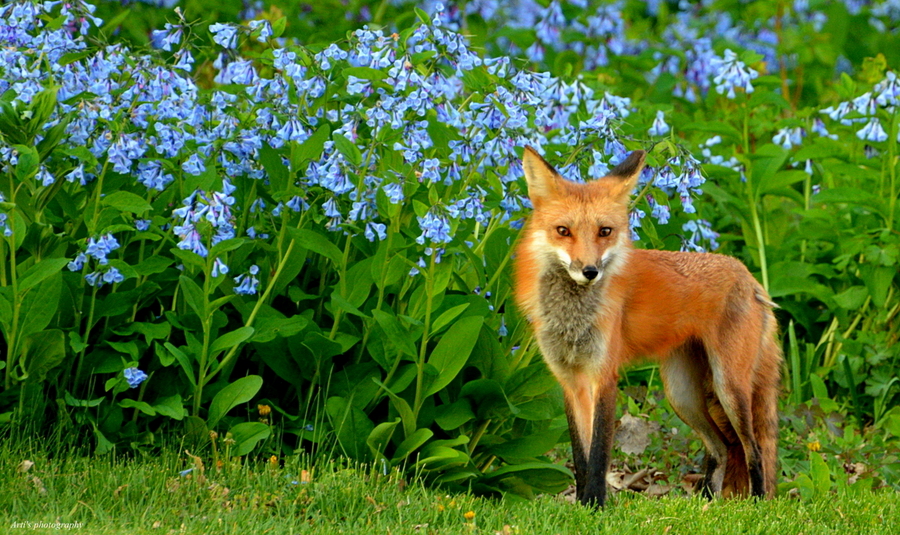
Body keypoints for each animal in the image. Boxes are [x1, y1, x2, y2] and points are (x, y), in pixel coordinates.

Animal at [514, 146, 782, 507]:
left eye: (605, 231)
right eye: (563, 231)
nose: (589, 271)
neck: (572, 317)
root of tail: (750, 276)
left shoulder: (603, 376)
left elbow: (598, 456)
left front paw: (595, 506)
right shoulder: (570, 380)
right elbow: (580, 457)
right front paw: (582, 506)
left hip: (729, 387)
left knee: (752, 449)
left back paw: (756, 504)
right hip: (682, 395)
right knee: (723, 447)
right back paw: (706, 504)